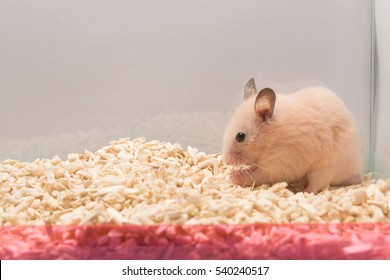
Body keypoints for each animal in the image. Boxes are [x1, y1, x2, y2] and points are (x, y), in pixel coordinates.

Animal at [222, 77, 362, 194]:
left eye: (240, 136)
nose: (226, 161)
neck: (270, 138)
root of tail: (357, 171)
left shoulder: (280, 165)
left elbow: (256, 174)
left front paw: (232, 176)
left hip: (326, 167)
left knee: (318, 184)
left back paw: (305, 191)